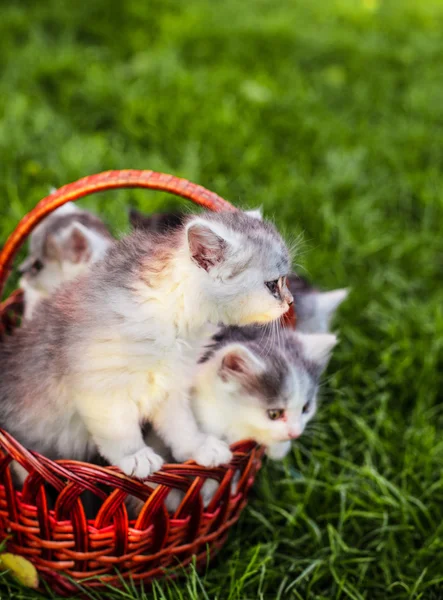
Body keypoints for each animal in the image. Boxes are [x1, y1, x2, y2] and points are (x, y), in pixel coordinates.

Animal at [0, 211, 294, 482]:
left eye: (285, 281)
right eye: (273, 285)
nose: (290, 302)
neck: (172, 313)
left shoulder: (171, 383)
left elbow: (181, 424)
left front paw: (198, 447)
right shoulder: (101, 386)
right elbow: (119, 428)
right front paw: (135, 456)